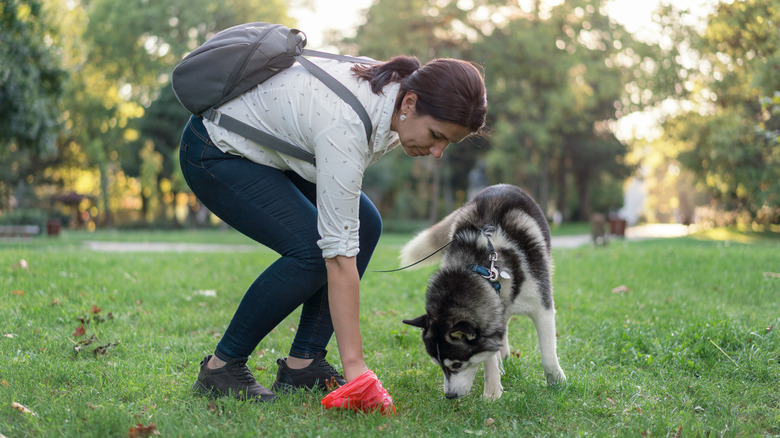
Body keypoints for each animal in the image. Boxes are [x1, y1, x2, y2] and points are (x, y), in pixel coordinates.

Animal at [402, 184, 568, 400]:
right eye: (439, 365)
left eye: (457, 364)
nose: (450, 396)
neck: (483, 268)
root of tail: (500, 185)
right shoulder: (491, 317)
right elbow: (489, 357)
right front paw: (492, 392)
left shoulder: (542, 306)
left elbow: (547, 352)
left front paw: (556, 382)